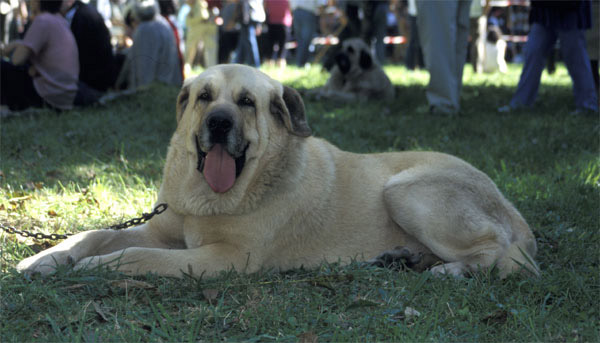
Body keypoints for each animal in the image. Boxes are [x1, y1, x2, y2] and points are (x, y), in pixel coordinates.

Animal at [16, 64, 540, 280]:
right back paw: (402, 259)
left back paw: (450, 270)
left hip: (404, 189)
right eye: (204, 97)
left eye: (247, 103)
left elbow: (136, 256)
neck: (209, 199)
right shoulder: (164, 229)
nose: (219, 123)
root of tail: (512, 208)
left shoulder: (223, 258)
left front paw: (96, 267)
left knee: (506, 257)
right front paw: (46, 258)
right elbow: (96, 234)